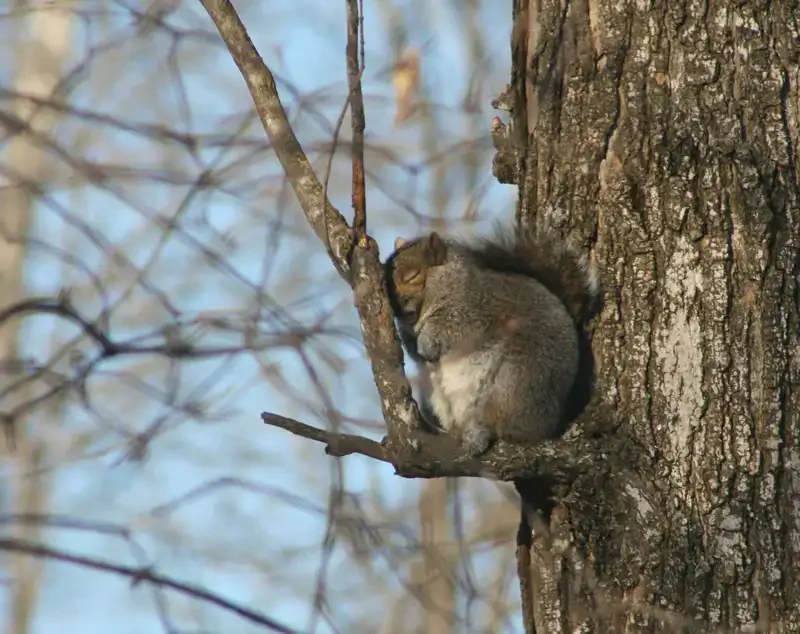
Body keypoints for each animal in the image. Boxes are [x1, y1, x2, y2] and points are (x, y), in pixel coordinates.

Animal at [384, 222, 604, 454]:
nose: (394, 304)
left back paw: (481, 433)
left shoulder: (476, 308)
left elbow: (451, 327)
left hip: (516, 380)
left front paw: (427, 341)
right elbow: (415, 353)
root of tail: (551, 421)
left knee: (506, 425)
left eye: (412, 275)